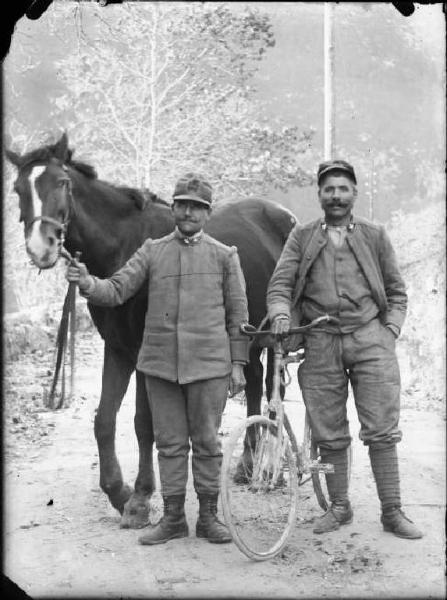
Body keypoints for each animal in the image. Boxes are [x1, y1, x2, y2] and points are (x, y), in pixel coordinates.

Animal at [5, 134, 298, 528]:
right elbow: (104, 420)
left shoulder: (148, 353)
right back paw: (245, 466)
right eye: (18, 189)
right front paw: (118, 492)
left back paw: (268, 469)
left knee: (271, 390)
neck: (123, 248)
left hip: (271, 336)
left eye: (63, 182)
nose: (42, 247)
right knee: (253, 386)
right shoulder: (117, 349)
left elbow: (144, 424)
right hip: (245, 340)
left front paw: (141, 498)